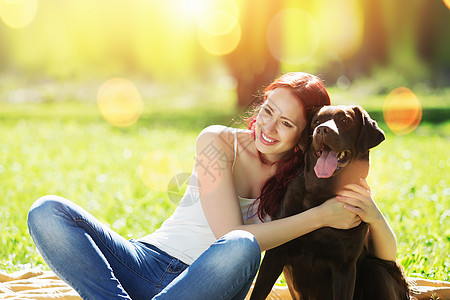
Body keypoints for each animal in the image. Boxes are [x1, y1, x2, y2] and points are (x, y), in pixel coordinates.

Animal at [251, 105, 410, 300]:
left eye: (346, 121)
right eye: (316, 122)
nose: (322, 130)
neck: (321, 195)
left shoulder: (345, 264)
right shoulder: (275, 254)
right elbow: (258, 291)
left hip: (378, 270)